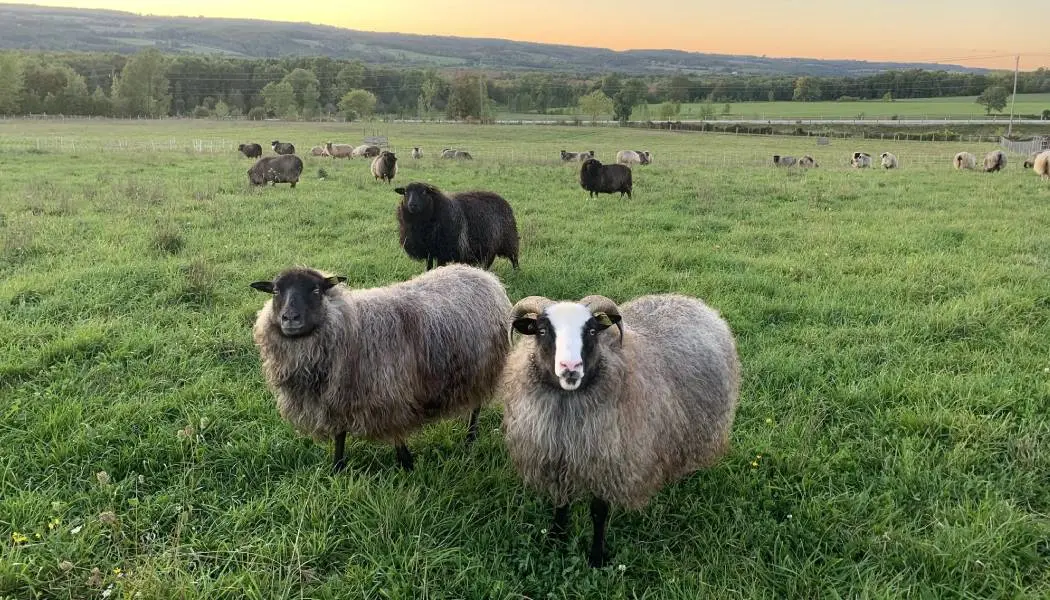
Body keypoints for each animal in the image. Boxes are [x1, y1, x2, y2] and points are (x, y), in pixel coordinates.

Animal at [250, 265, 511, 473]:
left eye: (315, 290)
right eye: (276, 291)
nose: (289, 318)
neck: (351, 326)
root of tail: (481, 273)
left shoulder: (390, 392)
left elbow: (397, 433)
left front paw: (407, 465)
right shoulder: (338, 398)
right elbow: (340, 436)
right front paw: (337, 469)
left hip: (483, 368)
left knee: (476, 407)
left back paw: (470, 438)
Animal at [502, 293, 740, 567]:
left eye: (592, 331)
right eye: (542, 330)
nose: (570, 366)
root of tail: (691, 301)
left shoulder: (610, 462)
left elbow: (598, 513)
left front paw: (596, 557)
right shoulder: (557, 459)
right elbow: (561, 503)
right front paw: (555, 539)